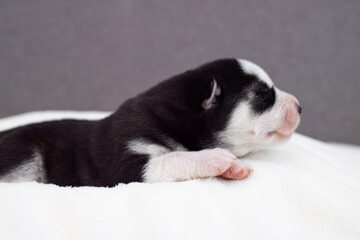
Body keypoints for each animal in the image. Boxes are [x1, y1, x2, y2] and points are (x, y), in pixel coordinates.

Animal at [0, 59, 300, 187]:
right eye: (263, 95)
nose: (299, 107)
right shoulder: (124, 166)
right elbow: (175, 158)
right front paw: (215, 158)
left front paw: (233, 167)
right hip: (24, 153)